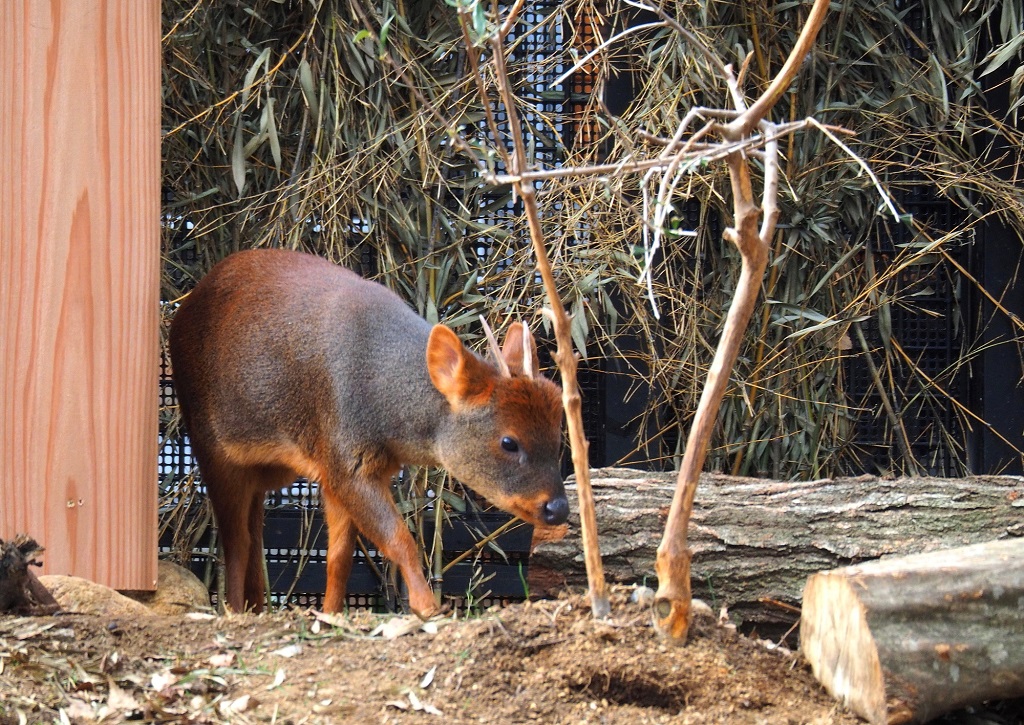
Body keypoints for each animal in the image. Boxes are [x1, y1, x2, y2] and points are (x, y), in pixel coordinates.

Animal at [169, 250, 569, 618]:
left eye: (558, 433)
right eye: (508, 441)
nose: (558, 508)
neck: (382, 395)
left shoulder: (338, 470)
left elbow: (340, 556)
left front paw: (331, 613)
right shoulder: (348, 463)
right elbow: (399, 539)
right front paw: (427, 607)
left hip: (268, 471)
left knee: (253, 534)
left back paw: (256, 606)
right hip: (211, 447)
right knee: (236, 541)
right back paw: (235, 610)